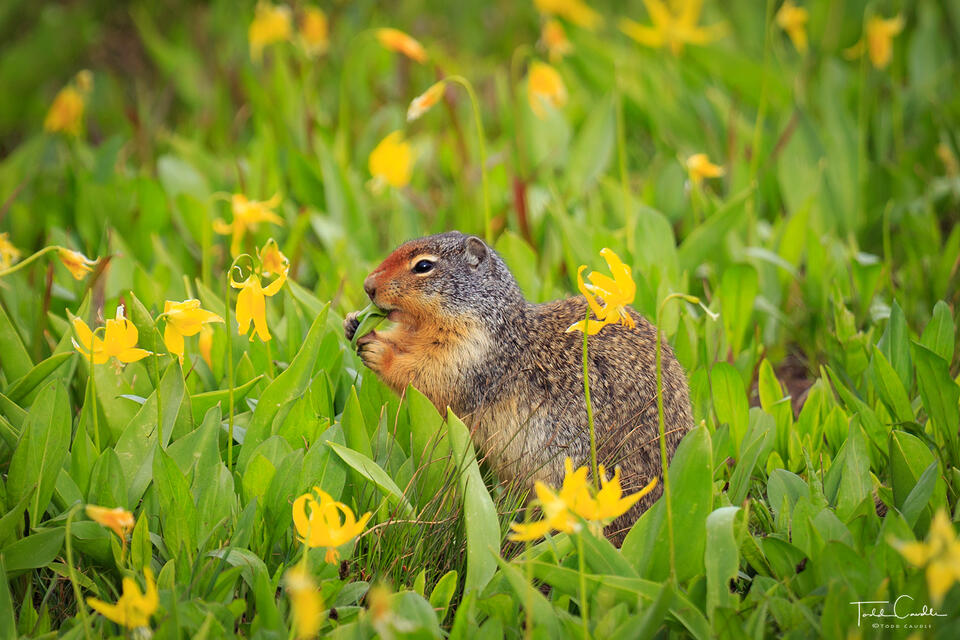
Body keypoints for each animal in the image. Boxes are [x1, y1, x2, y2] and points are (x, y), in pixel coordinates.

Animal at [344, 231, 693, 543]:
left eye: (423, 266)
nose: (368, 286)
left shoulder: (468, 357)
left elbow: (426, 375)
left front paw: (378, 351)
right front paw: (353, 323)